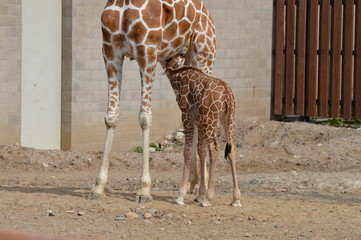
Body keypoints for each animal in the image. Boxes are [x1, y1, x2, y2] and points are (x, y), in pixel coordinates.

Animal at [90, 0, 215, 202]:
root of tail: (208, 17)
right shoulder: (110, 51)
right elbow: (111, 116)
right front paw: (98, 186)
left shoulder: (147, 52)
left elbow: (144, 117)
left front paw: (144, 189)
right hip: (175, 63)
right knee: (192, 115)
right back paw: (192, 182)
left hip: (203, 57)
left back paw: (201, 188)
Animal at [165, 54, 240, 206]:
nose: (182, 54)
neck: (177, 78)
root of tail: (227, 93)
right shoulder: (199, 120)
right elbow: (201, 150)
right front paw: (199, 195)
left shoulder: (187, 115)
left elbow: (187, 151)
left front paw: (181, 196)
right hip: (227, 119)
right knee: (231, 149)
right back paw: (236, 199)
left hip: (210, 120)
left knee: (215, 148)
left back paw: (208, 198)